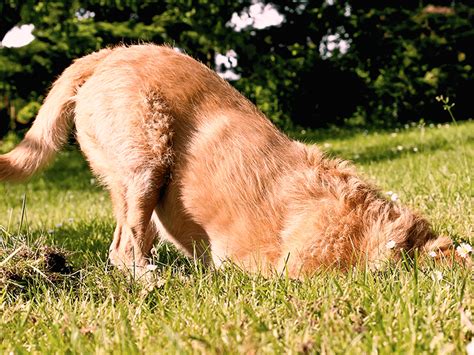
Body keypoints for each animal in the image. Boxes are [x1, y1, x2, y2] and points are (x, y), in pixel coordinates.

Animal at [0, 43, 460, 278]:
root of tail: (110, 53)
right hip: (147, 163)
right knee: (126, 248)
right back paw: (156, 282)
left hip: (131, 181)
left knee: (125, 242)